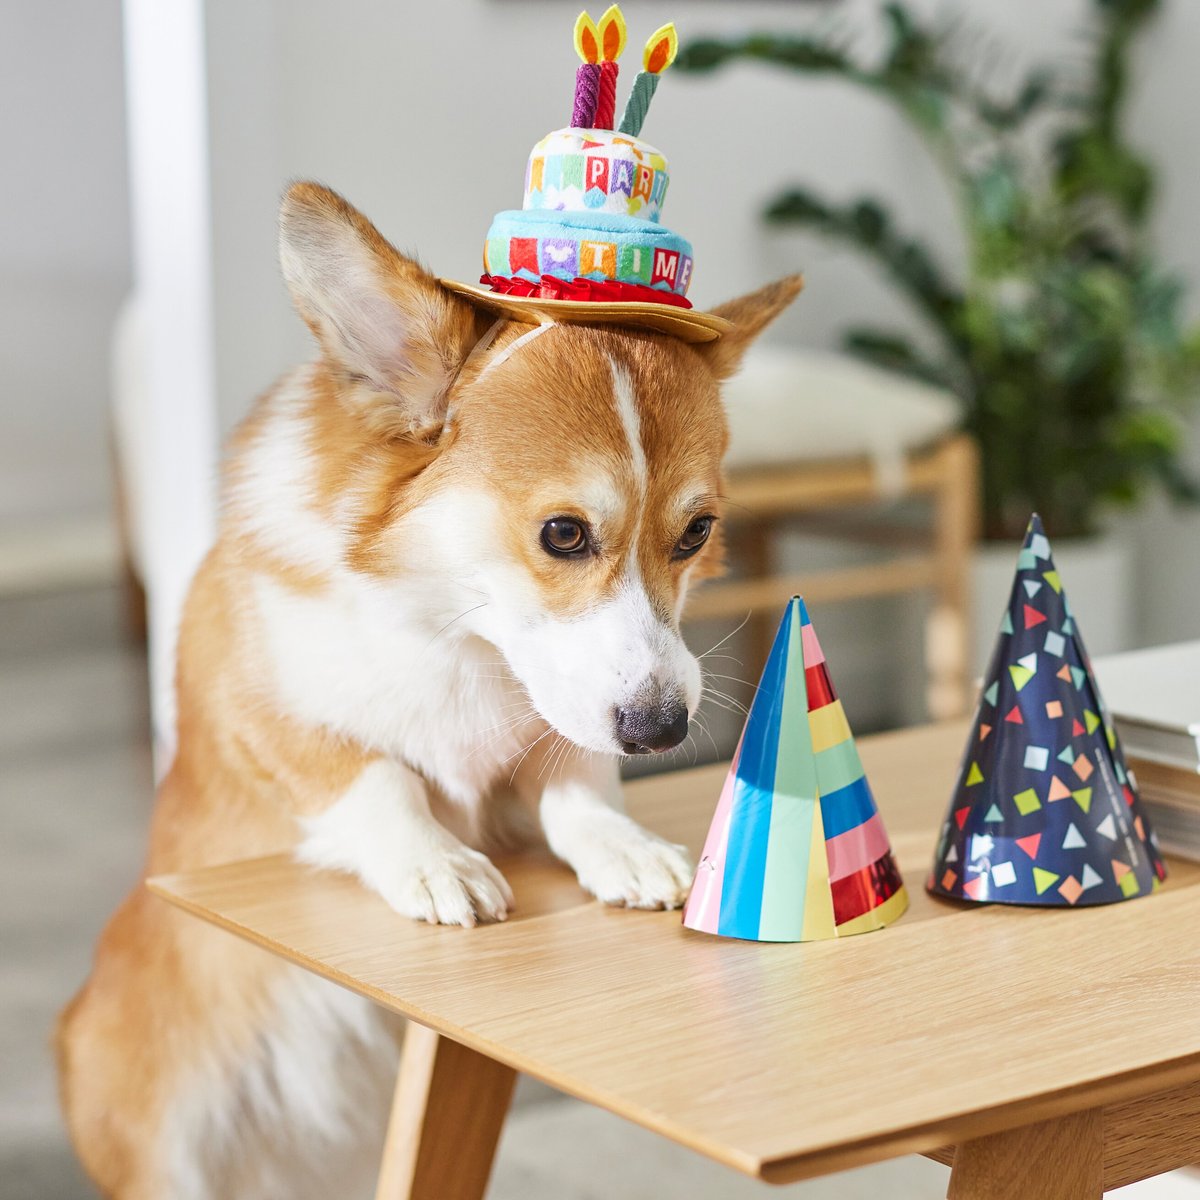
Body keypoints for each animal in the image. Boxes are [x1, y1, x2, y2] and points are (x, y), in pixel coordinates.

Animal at [58, 180, 806, 1200]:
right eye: (564, 534)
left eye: (696, 533)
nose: (660, 731)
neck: (460, 633)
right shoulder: (248, 706)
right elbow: (373, 774)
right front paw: (437, 862)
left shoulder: (566, 726)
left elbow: (574, 776)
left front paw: (621, 845)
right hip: (163, 1138)